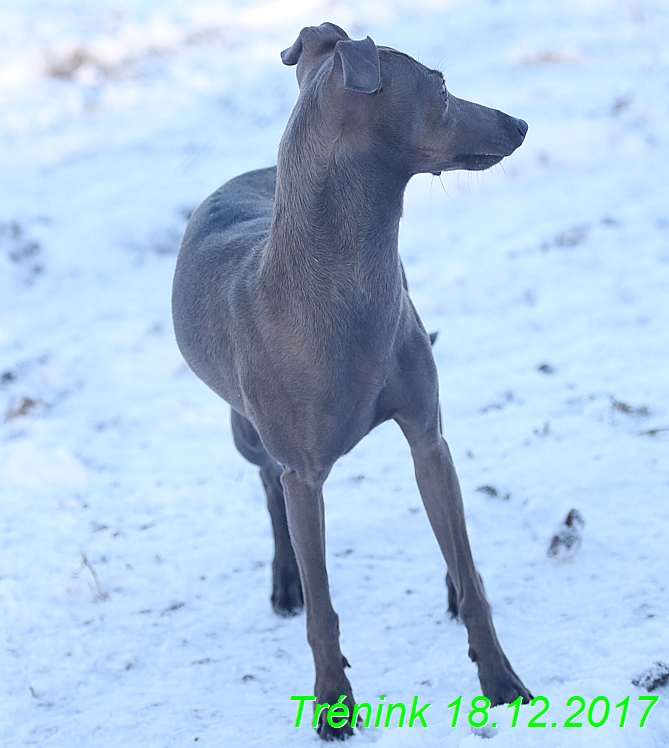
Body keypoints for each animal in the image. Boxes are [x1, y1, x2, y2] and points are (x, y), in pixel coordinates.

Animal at [174, 20, 532, 740]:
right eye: (441, 85)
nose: (520, 123)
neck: (342, 285)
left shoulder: (426, 436)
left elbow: (467, 567)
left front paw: (499, 678)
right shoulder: (305, 474)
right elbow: (322, 608)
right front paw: (332, 703)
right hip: (247, 433)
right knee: (268, 486)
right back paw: (285, 582)